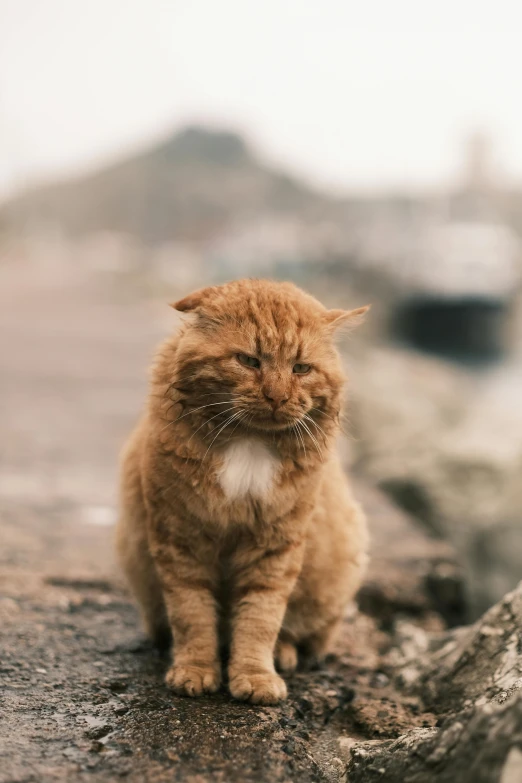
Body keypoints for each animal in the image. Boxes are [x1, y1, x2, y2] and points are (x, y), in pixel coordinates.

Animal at [116, 278, 368, 708]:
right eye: (249, 361)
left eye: (301, 369)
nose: (277, 396)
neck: (248, 442)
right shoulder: (181, 540)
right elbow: (192, 614)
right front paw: (195, 670)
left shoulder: (275, 548)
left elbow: (259, 619)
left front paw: (255, 676)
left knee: (299, 634)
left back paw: (283, 654)